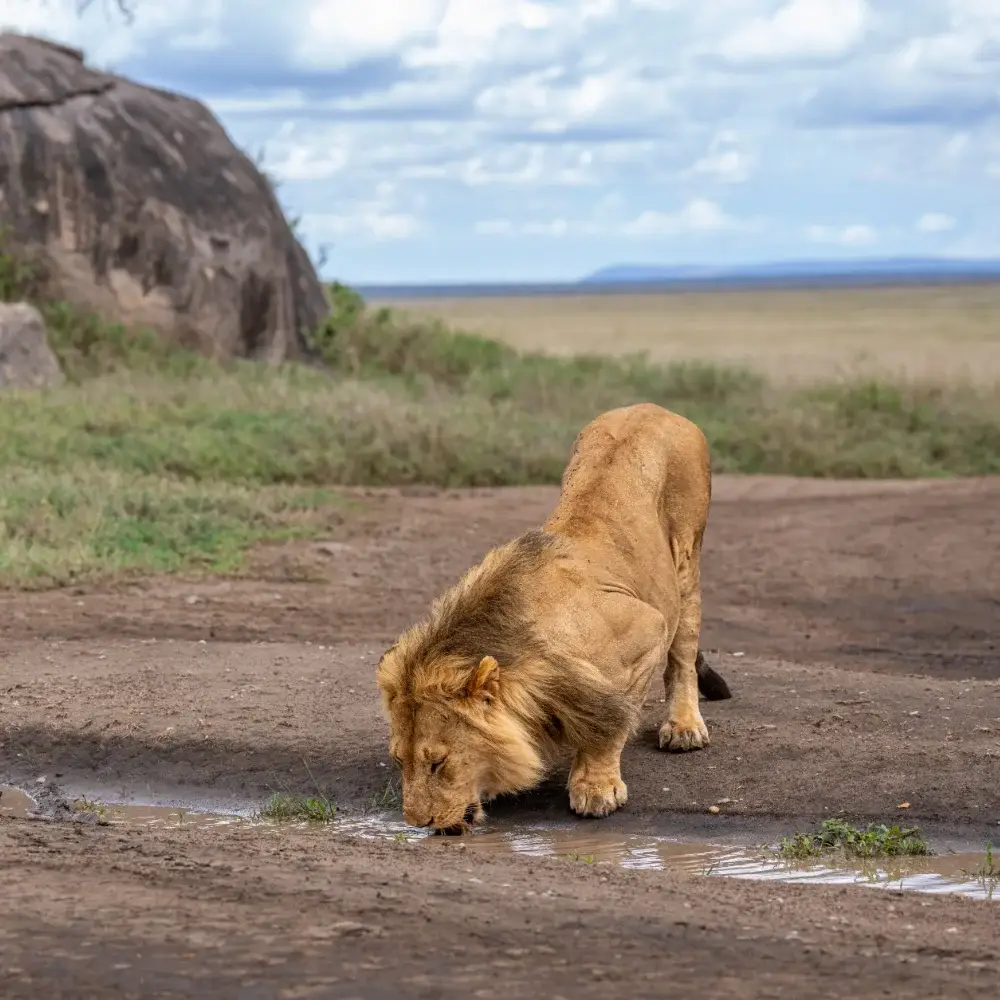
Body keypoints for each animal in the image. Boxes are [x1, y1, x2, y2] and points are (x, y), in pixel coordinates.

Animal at [376, 402, 730, 832]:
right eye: (399, 760)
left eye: (438, 763)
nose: (417, 823)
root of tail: (654, 407)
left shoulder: (646, 630)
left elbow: (606, 726)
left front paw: (595, 787)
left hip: (686, 559)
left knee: (682, 657)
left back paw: (684, 727)